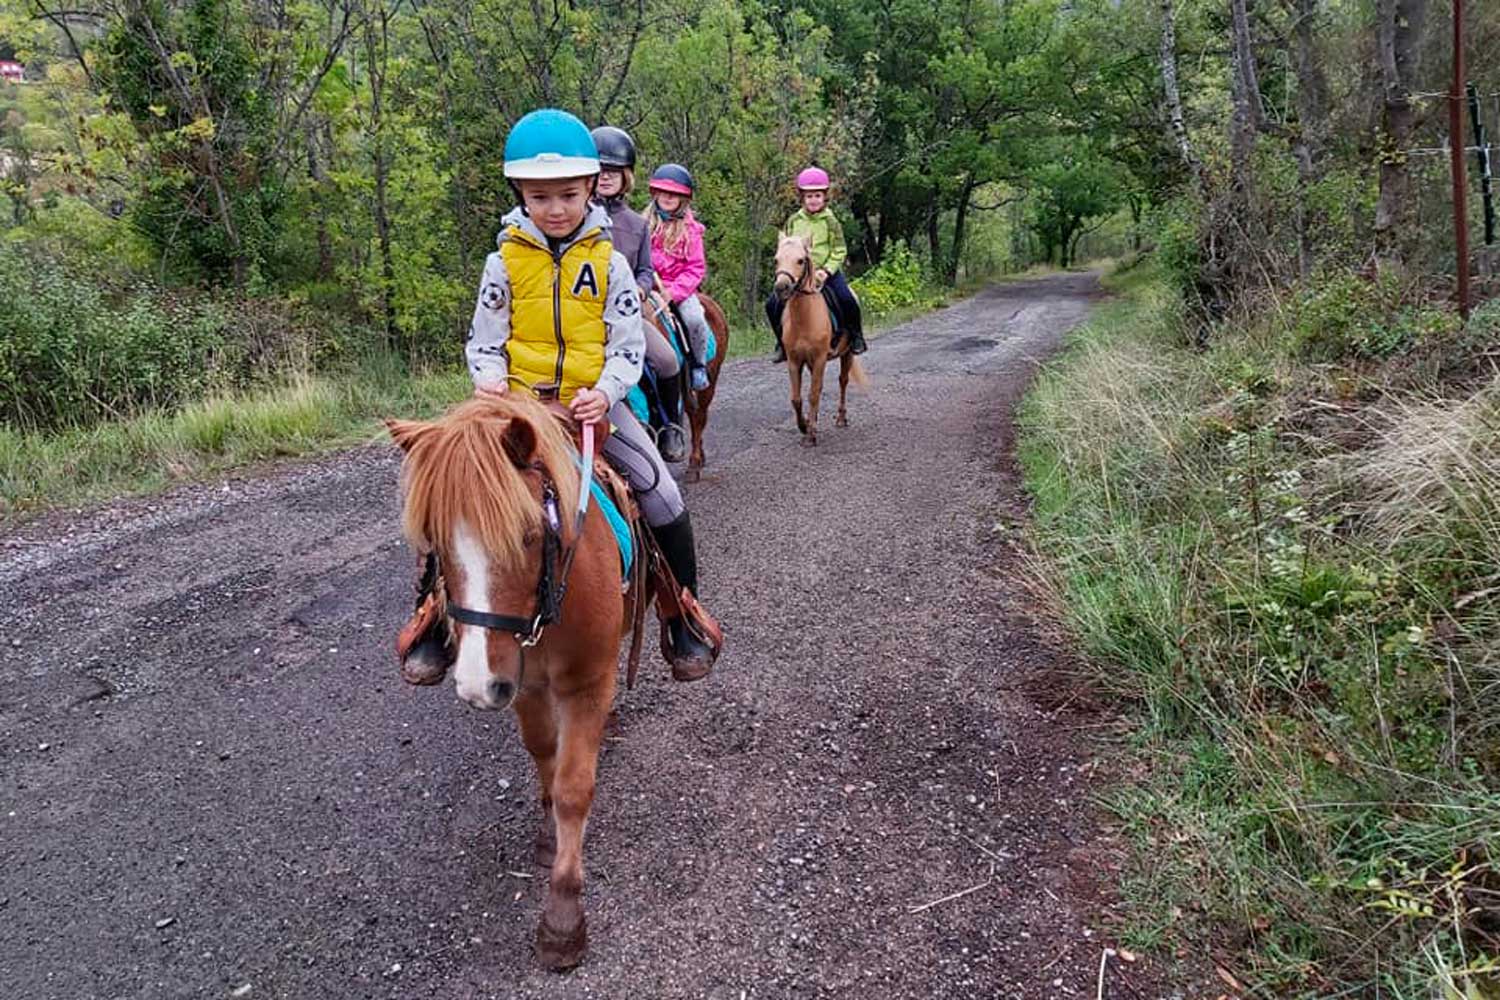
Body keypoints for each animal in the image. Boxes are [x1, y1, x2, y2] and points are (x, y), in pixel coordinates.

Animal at [387, 395, 633, 971]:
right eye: (434, 541)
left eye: (528, 534)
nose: (477, 685)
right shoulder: (522, 684)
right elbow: (544, 752)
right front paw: (547, 836)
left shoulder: (587, 682)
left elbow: (573, 787)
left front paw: (563, 917)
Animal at [774, 235, 870, 446]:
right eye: (776, 260)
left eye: (801, 260)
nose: (781, 287)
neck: (804, 318)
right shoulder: (794, 361)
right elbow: (797, 398)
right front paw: (804, 425)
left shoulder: (819, 359)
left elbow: (813, 394)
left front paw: (810, 434)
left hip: (847, 354)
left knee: (842, 381)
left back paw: (841, 418)